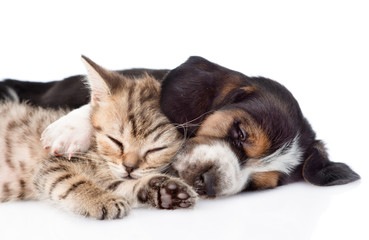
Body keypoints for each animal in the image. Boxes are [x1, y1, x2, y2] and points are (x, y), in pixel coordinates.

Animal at [0, 56, 197, 219]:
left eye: (156, 150)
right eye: (116, 141)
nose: (129, 167)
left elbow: (124, 185)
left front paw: (166, 191)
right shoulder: (53, 164)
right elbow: (71, 182)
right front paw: (99, 199)